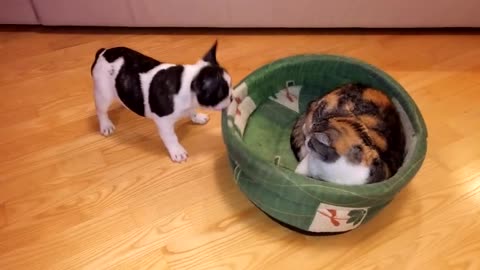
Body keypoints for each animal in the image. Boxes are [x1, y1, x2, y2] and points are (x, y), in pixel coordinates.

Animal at [91, 41, 233, 161]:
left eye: (231, 85)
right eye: (222, 93)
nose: (231, 97)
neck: (186, 85)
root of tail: (103, 53)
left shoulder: (190, 106)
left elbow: (192, 111)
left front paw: (197, 117)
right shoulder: (164, 122)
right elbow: (171, 137)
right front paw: (177, 151)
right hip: (103, 93)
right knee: (101, 110)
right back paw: (106, 125)